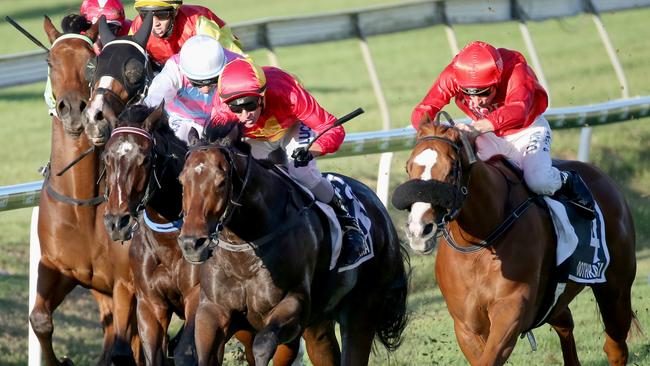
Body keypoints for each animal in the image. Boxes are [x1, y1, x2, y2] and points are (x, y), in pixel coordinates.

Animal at [30, 15, 140, 366]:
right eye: (50, 61)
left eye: (91, 63)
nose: (75, 110)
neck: (81, 203)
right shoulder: (59, 267)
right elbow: (39, 318)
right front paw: (60, 360)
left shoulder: (126, 283)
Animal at [177, 123, 408, 366]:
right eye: (181, 181)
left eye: (222, 182)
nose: (192, 243)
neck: (245, 251)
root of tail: (379, 207)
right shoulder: (212, 310)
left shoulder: (294, 305)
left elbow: (263, 345)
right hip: (319, 322)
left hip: (363, 307)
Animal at [388, 123, 636, 366]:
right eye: (408, 168)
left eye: (451, 170)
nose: (419, 230)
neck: (481, 241)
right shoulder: (466, 326)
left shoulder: (510, 312)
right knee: (565, 322)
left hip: (615, 290)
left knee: (615, 346)